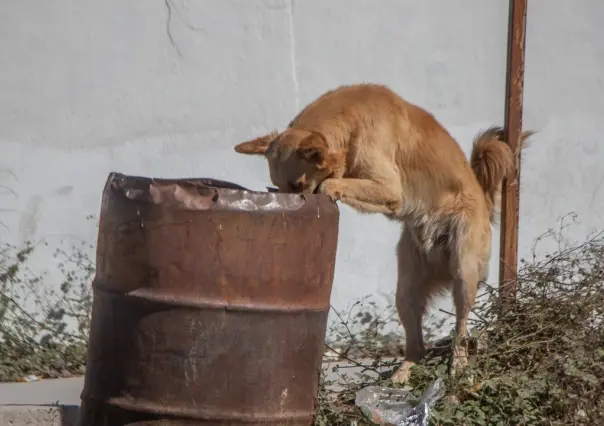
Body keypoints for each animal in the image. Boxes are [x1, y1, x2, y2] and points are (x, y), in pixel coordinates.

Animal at [234, 83, 532, 382]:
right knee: (417, 346)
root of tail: (483, 201)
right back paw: (402, 376)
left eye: (296, 185)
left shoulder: (390, 189)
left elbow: (330, 183)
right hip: (406, 289)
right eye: (279, 186)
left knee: (460, 329)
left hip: (463, 271)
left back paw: (458, 369)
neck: (351, 123)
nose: (289, 208)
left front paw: (328, 188)